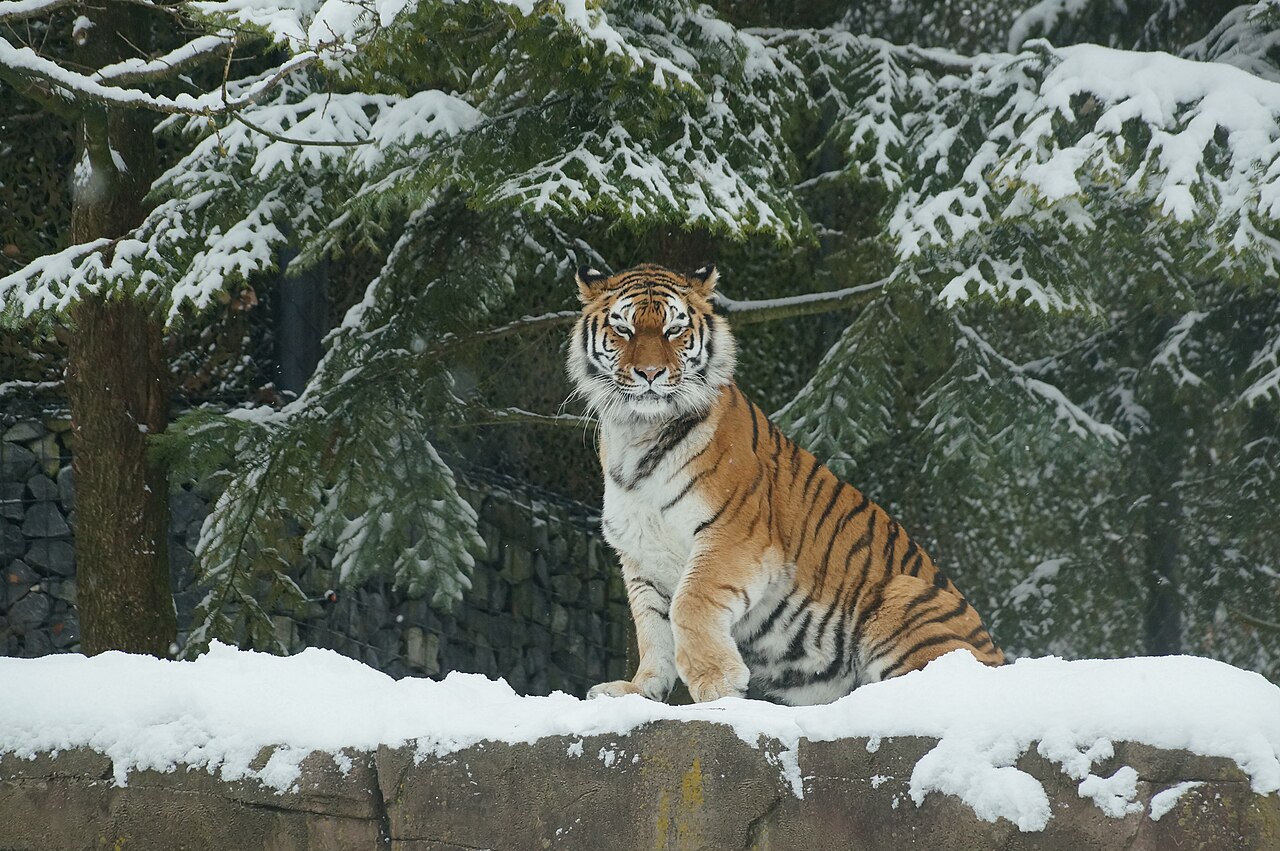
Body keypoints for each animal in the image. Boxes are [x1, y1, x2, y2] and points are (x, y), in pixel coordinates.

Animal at [569, 262, 1004, 706]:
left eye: (674, 329)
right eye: (624, 329)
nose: (650, 373)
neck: (638, 433)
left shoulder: (732, 535)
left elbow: (689, 604)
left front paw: (718, 683)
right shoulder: (642, 558)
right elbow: (653, 630)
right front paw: (640, 691)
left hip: (902, 594)